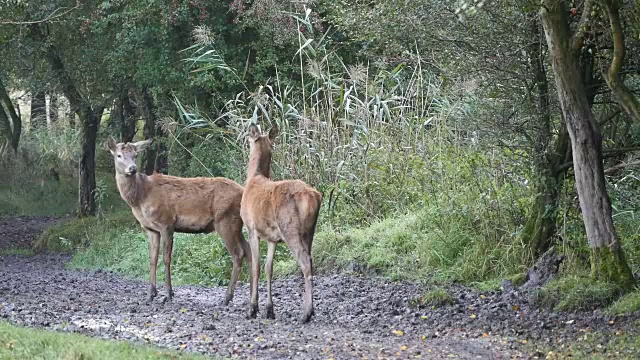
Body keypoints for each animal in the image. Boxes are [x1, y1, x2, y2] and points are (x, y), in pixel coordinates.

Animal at [106, 136, 251, 306]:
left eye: (135, 155)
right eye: (119, 155)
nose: (133, 168)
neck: (140, 198)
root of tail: (243, 191)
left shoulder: (166, 222)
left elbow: (166, 259)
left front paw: (168, 295)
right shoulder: (150, 228)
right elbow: (152, 259)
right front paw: (150, 295)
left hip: (225, 220)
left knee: (238, 254)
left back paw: (227, 298)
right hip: (237, 224)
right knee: (249, 250)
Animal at [240, 124, 322, 324]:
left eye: (250, 137)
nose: (244, 137)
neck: (253, 179)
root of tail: (312, 196)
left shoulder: (252, 229)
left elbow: (255, 267)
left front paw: (252, 309)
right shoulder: (272, 237)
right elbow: (269, 268)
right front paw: (270, 310)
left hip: (290, 228)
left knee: (305, 262)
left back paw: (306, 313)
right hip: (310, 231)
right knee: (310, 259)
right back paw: (310, 310)